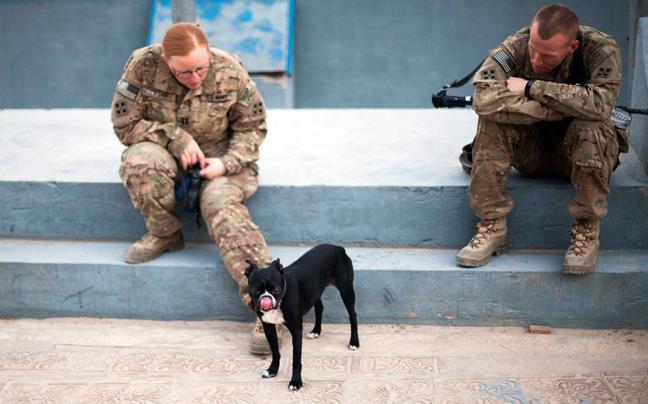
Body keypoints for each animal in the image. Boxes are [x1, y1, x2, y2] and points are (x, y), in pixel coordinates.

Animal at [246, 245, 362, 390]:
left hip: (346, 290)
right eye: (255, 290)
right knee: (319, 308)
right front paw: (273, 370)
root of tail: (338, 247)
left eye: (277, 290)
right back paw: (316, 331)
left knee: (353, 315)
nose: (265, 299)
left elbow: (296, 359)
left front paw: (295, 382)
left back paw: (354, 342)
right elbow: (275, 352)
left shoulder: (296, 331)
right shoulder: (268, 328)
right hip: (316, 291)